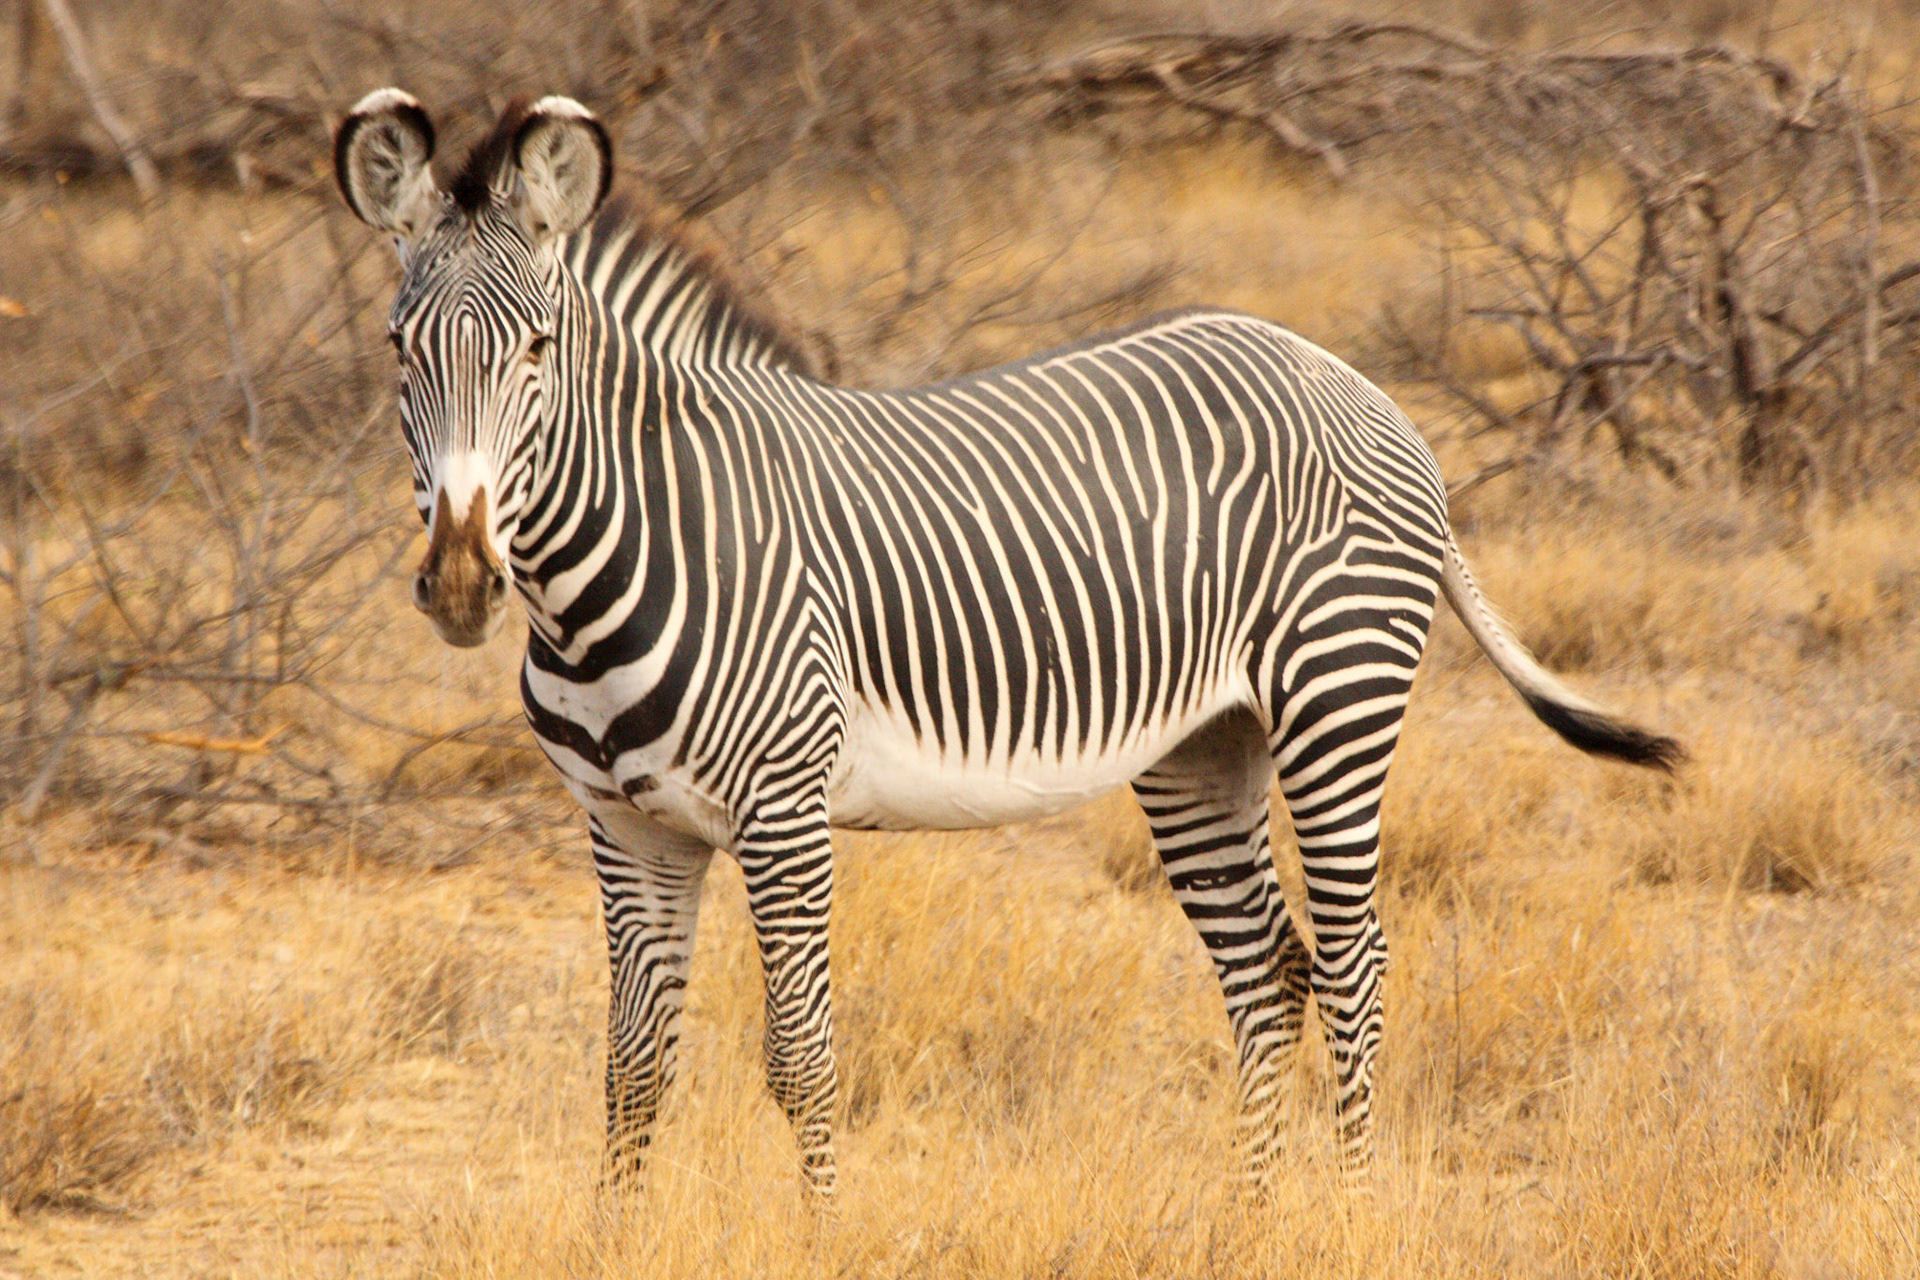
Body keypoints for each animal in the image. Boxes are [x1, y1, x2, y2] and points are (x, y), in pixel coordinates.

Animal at [335, 90, 1681, 1196]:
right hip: (1205, 744)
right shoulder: (628, 826)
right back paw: (1253, 1219)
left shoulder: (784, 811)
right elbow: (631, 1068)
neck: (625, 556)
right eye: (400, 350)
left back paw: (1347, 1214)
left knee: (1353, 965)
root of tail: (1348, 377)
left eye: (537, 350)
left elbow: (804, 1059)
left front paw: (825, 1234)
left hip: (1336, 697)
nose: (462, 580)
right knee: (1268, 976)